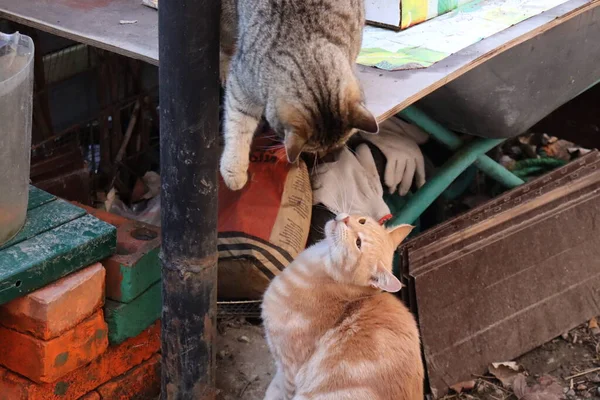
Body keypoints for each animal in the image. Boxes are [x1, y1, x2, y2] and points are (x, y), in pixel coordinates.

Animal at [218, 0, 378, 191]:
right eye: (313, 151)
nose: (329, 157)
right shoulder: (242, 85)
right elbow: (239, 125)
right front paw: (234, 169)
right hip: (228, 19)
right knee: (225, 46)